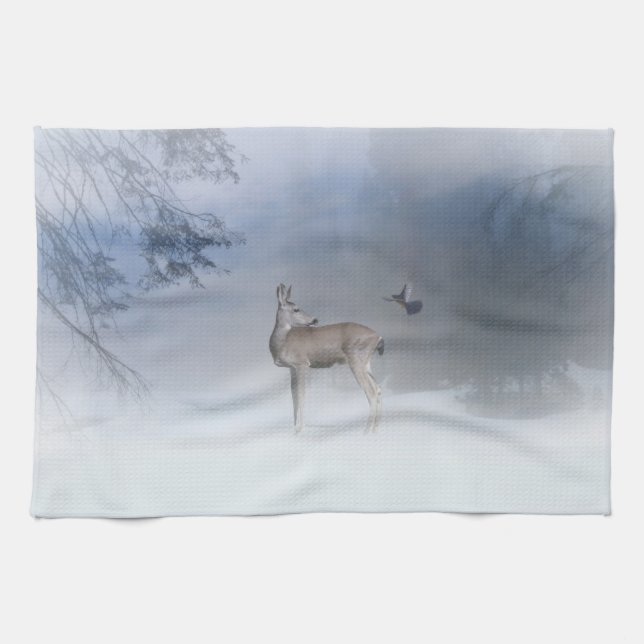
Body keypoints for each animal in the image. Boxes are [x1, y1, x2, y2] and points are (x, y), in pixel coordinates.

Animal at [270, 284, 384, 433]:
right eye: (296, 309)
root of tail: (378, 337)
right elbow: (294, 396)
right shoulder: (292, 368)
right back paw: (374, 430)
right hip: (366, 363)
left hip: (356, 360)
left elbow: (301, 395)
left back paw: (365, 431)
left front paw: (299, 429)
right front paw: (294, 428)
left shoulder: (302, 363)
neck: (282, 343)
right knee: (378, 389)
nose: (315, 320)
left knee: (372, 392)